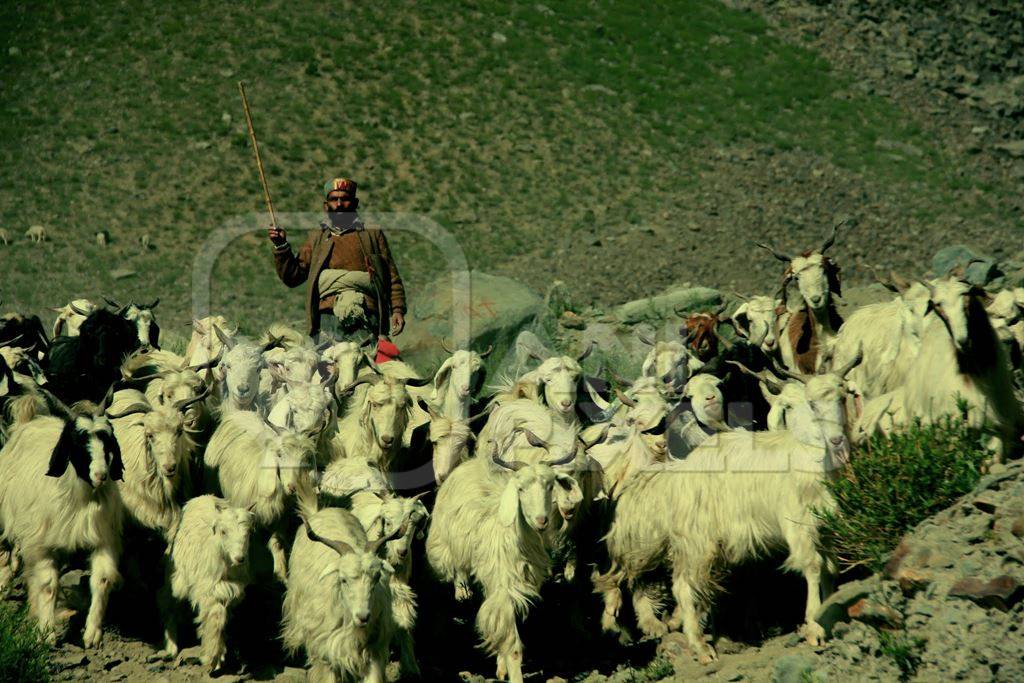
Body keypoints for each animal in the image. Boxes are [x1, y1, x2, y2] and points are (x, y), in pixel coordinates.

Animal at [161, 493, 256, 671]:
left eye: (247, 533)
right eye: (223, 531)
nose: (239, 558)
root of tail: (202, 497)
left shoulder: (232, 590)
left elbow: (225, 617)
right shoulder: (208, 589)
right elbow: (216, 616)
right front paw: (212, 658)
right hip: (175, 577)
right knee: (169, 605)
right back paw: (171, 648)